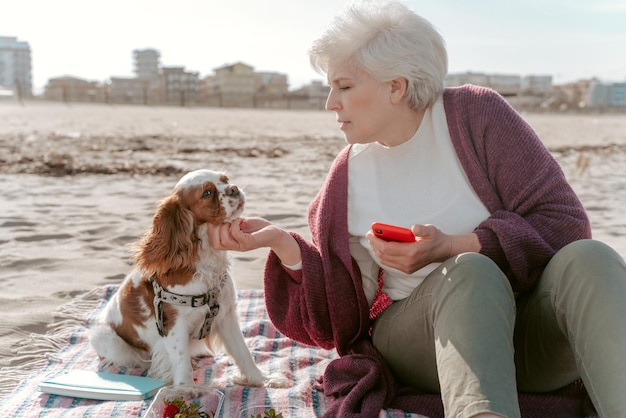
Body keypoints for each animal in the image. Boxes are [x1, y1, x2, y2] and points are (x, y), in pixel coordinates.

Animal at [89, 168, 286, 386]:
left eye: (226, 180)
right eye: (207, 193)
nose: (233, 189)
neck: (207, 258)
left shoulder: (226, 316)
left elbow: (243, 352)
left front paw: (260, 379)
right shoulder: (175, 324)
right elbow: (181, 359)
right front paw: (186, 389)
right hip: (109, 340)